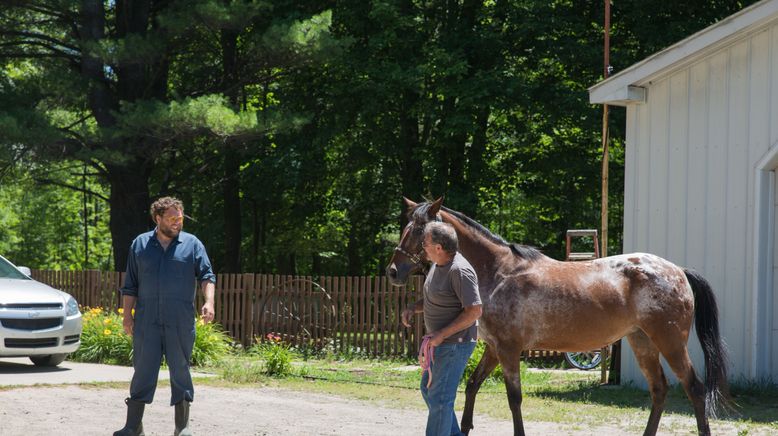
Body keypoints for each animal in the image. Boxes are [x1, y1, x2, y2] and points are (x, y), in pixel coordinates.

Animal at [384, 198, 732, 436]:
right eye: (405, 229)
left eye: (418, 233)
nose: (393, 272)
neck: (499, 272)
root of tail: (678, 271)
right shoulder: (494, 348)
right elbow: (471, 386)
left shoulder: (509, 349)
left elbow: (514, 398)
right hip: (642, 341)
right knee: (659, 390)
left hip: (670, 342)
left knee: (694, 388)